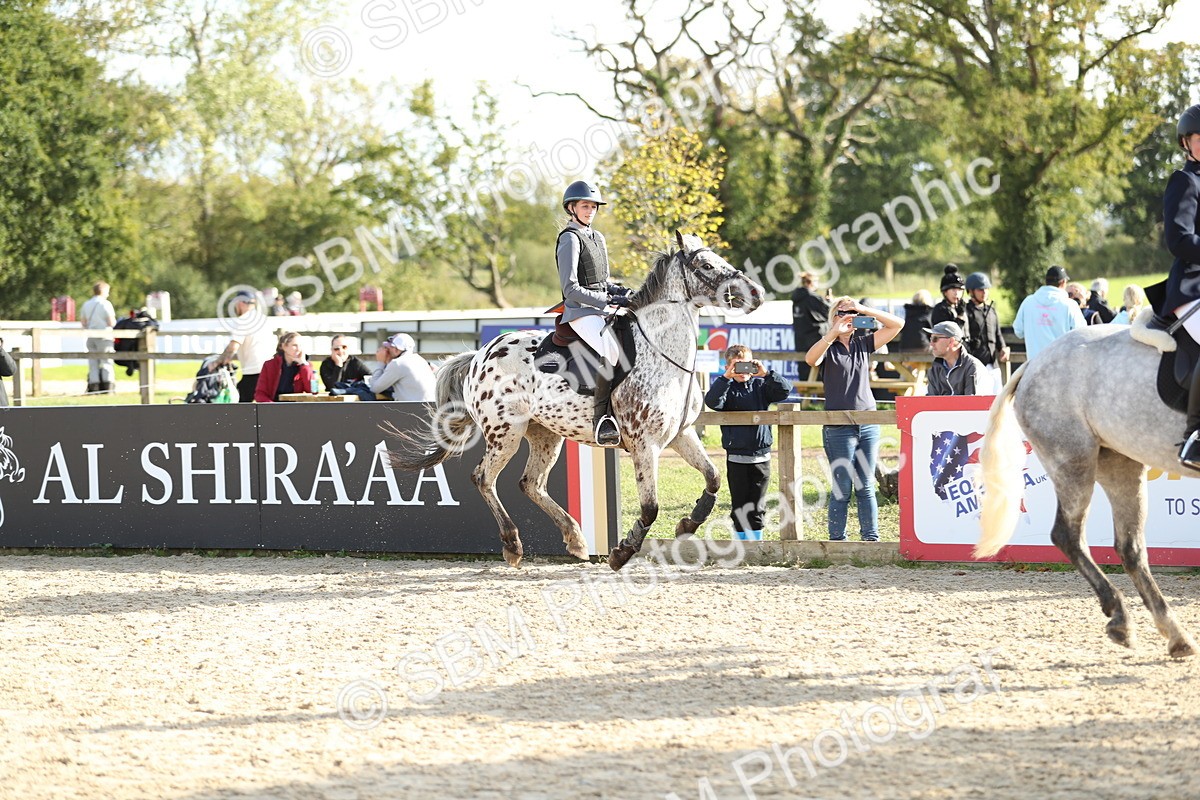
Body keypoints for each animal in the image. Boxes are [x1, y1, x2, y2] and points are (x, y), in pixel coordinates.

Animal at [387, 232, 765, 570]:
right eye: (705, 265)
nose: (756, 293)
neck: (661, 354)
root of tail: (481, 354)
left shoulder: (681, 435)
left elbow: (713, 477)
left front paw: (687, 523)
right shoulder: (645, 445)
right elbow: (650, 507)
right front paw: (622, 553)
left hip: (544, 434)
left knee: (531, 484)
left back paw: (576, 539)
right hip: (505, 433)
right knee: (483, 478)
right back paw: (513, 545)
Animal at [977, 322, 1198, 658]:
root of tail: (1033, 362)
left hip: (1120, 462)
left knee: (1130, 548)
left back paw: (1174, 635)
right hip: (1073, 460)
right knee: (1068, 535)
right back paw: (1121, 617)